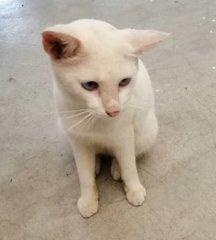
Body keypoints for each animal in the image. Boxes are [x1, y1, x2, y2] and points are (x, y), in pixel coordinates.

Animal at [41, 19, 169, 218]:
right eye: (89, 85)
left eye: (124, 81)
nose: (114, 110)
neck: (95, 121)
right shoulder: (77, 139)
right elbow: (84, 175)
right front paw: (88, 199)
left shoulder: (124, 134)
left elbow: (129, 165)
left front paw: (134, 189)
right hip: (64, 132)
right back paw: (96, 164)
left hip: (146, 132)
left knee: (129, 154)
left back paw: (116, 167)